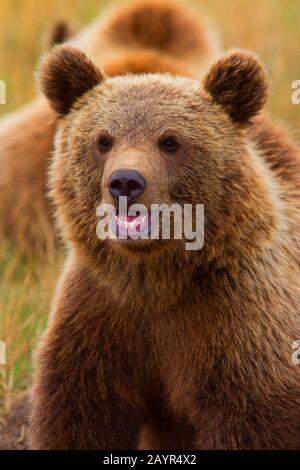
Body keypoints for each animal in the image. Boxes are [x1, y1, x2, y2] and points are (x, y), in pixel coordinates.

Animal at [28, 45, 300, 452]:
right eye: (103, 140)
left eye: (170, 141)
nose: (125, 181)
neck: (156, 277)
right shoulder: (99, 316)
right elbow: (79, 415)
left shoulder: (239, 321)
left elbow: (250, 420)